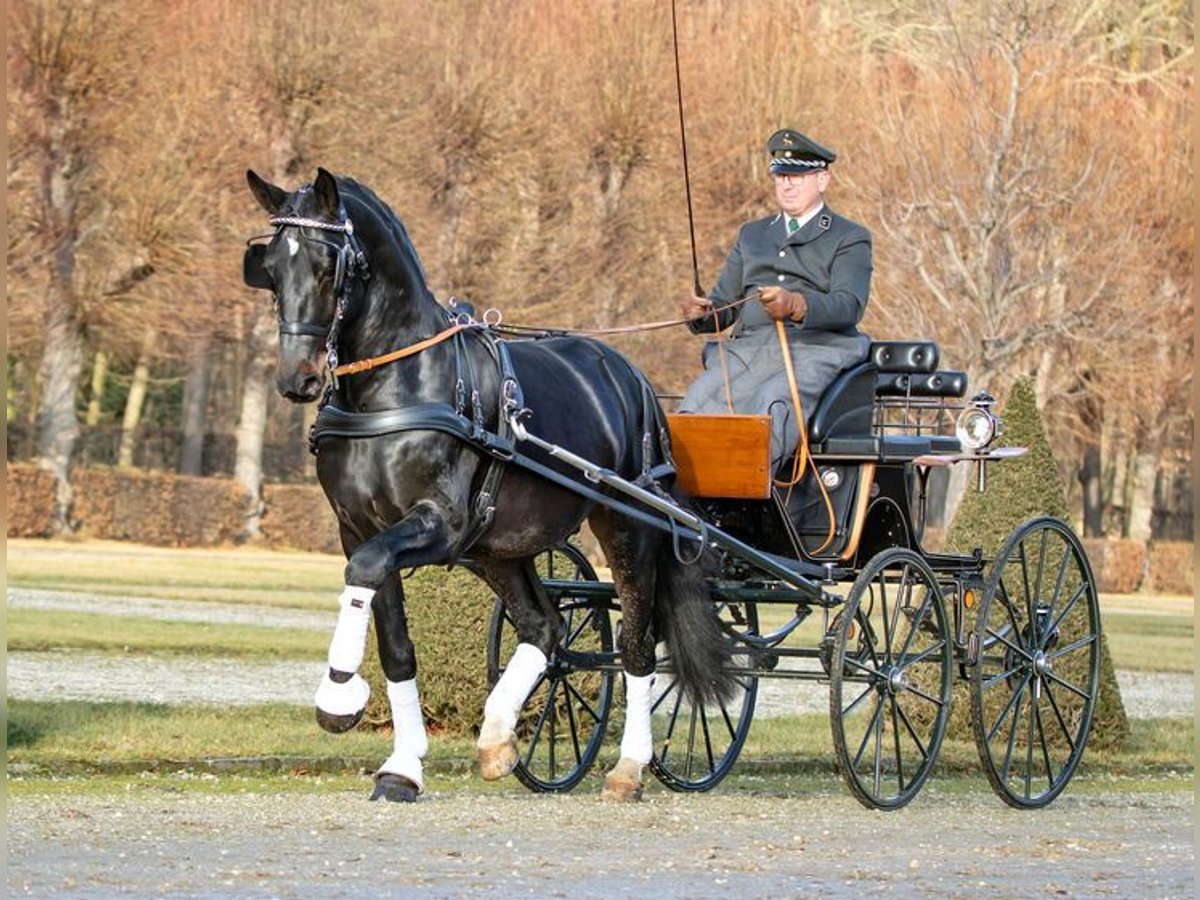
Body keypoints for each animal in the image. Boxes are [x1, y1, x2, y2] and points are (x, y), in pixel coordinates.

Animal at [243, 168, 729, 801]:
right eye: (273, 267)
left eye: (330, 266)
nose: (294, 378)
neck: (395, 388)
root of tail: (629, 375)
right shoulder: (361, 528)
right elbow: (395, 645)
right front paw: (403, 766)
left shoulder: (438, 523)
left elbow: (365, 573)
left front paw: (339, 695)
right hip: (498, 546)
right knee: (545, 628)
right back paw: (499, 737)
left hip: (626, 526)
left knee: (637, 644)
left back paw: (628, 768)